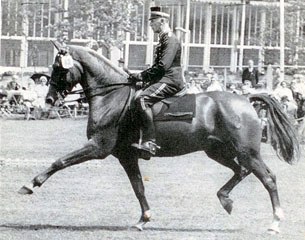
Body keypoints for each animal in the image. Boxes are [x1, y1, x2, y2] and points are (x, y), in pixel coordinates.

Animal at [17, 41, 298, 234]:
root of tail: (246, 99)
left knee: (268, 178)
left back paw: (275, 222)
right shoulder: (126, 155)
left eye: (59, 69)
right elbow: (138, 187)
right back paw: (225, 199)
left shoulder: (98, 147)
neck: (112, 97)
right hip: (218, 151)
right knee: (241, 171)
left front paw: (30, 184)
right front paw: (144, 219)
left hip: (247, 152)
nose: (49, 100)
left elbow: (60, 161)